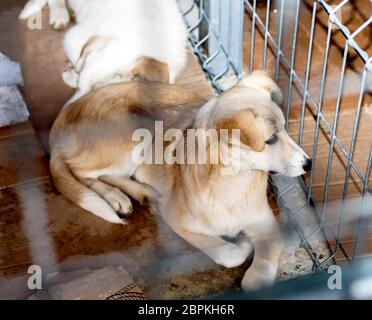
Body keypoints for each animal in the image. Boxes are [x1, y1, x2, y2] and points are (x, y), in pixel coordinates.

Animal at [48, 70, 310, 290]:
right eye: (271, 140)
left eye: (285, 130)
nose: (308, 164)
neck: (230, 184)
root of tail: (69, 111)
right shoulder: (178, 220)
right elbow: (228, 254)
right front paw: (242, 244)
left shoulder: (266, 222)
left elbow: (261, 267)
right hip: (131, 131)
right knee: (81, 172)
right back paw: (116, 197)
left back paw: (140, 193)